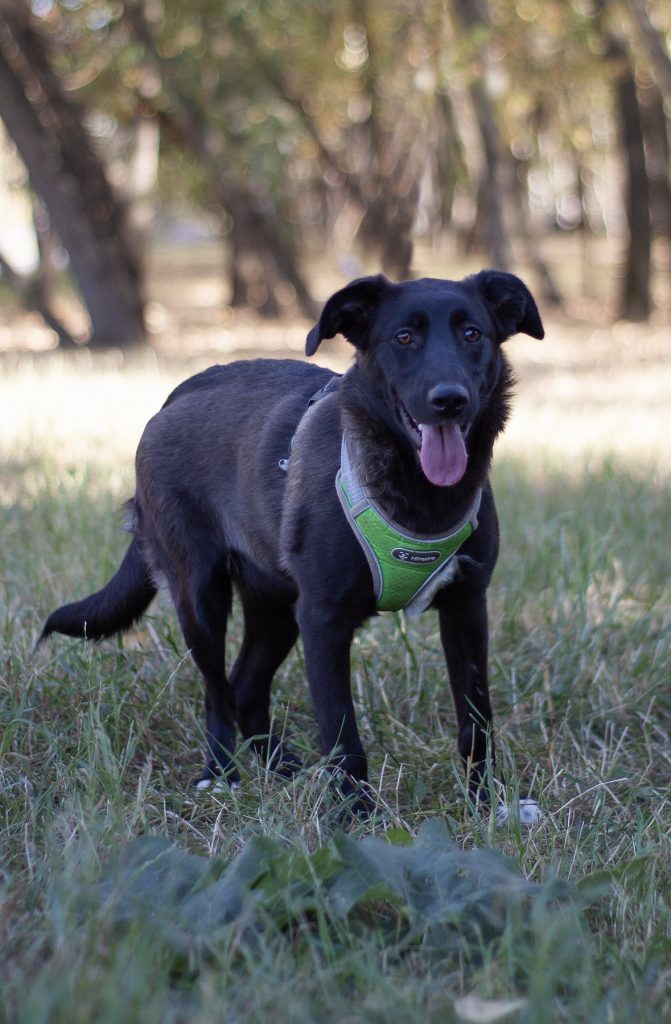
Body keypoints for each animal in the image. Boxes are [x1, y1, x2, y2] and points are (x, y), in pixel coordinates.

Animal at [39, 272, 544, 815]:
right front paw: (355, 815)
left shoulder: (467, 608)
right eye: (404, 337)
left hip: (278, 608)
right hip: (201, 595)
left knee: (245, 689)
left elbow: (476, 720)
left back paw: (282, 768)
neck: (418, 492)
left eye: (473, 334)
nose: (450, 399)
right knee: (217, 691)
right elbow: (342, 731)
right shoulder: (324, 620)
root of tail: (173, 397)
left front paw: (486, 804)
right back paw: (221, 773)